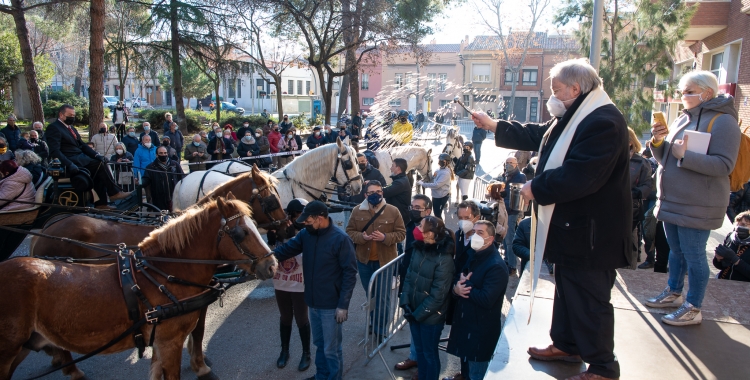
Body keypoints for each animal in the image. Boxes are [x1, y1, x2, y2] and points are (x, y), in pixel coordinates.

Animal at [0, 194, 276, 380]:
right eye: (241, 233)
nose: (271, 265)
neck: (163, 273)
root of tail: (47, 227)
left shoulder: (160, 339)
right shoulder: (169, 340)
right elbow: (197, 332)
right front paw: (201, 365)